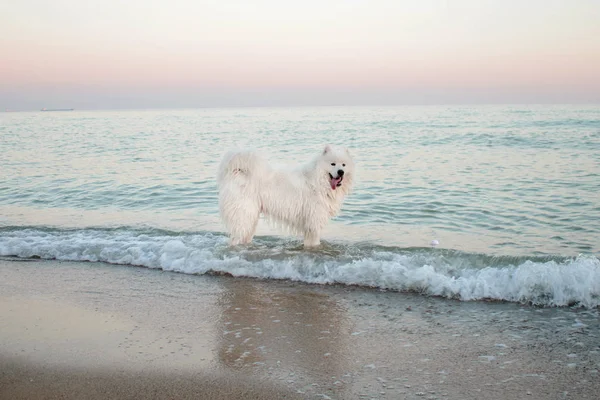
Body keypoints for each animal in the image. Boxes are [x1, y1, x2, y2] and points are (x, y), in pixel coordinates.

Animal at [218, 145, 354, 247]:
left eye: (343, 165)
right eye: (332, 164)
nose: (341, 172)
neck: (318, 181)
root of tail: (238, 172)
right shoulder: (314, 222)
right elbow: (315, 242)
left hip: (251, 218)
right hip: (243, 216)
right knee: (235, 239)